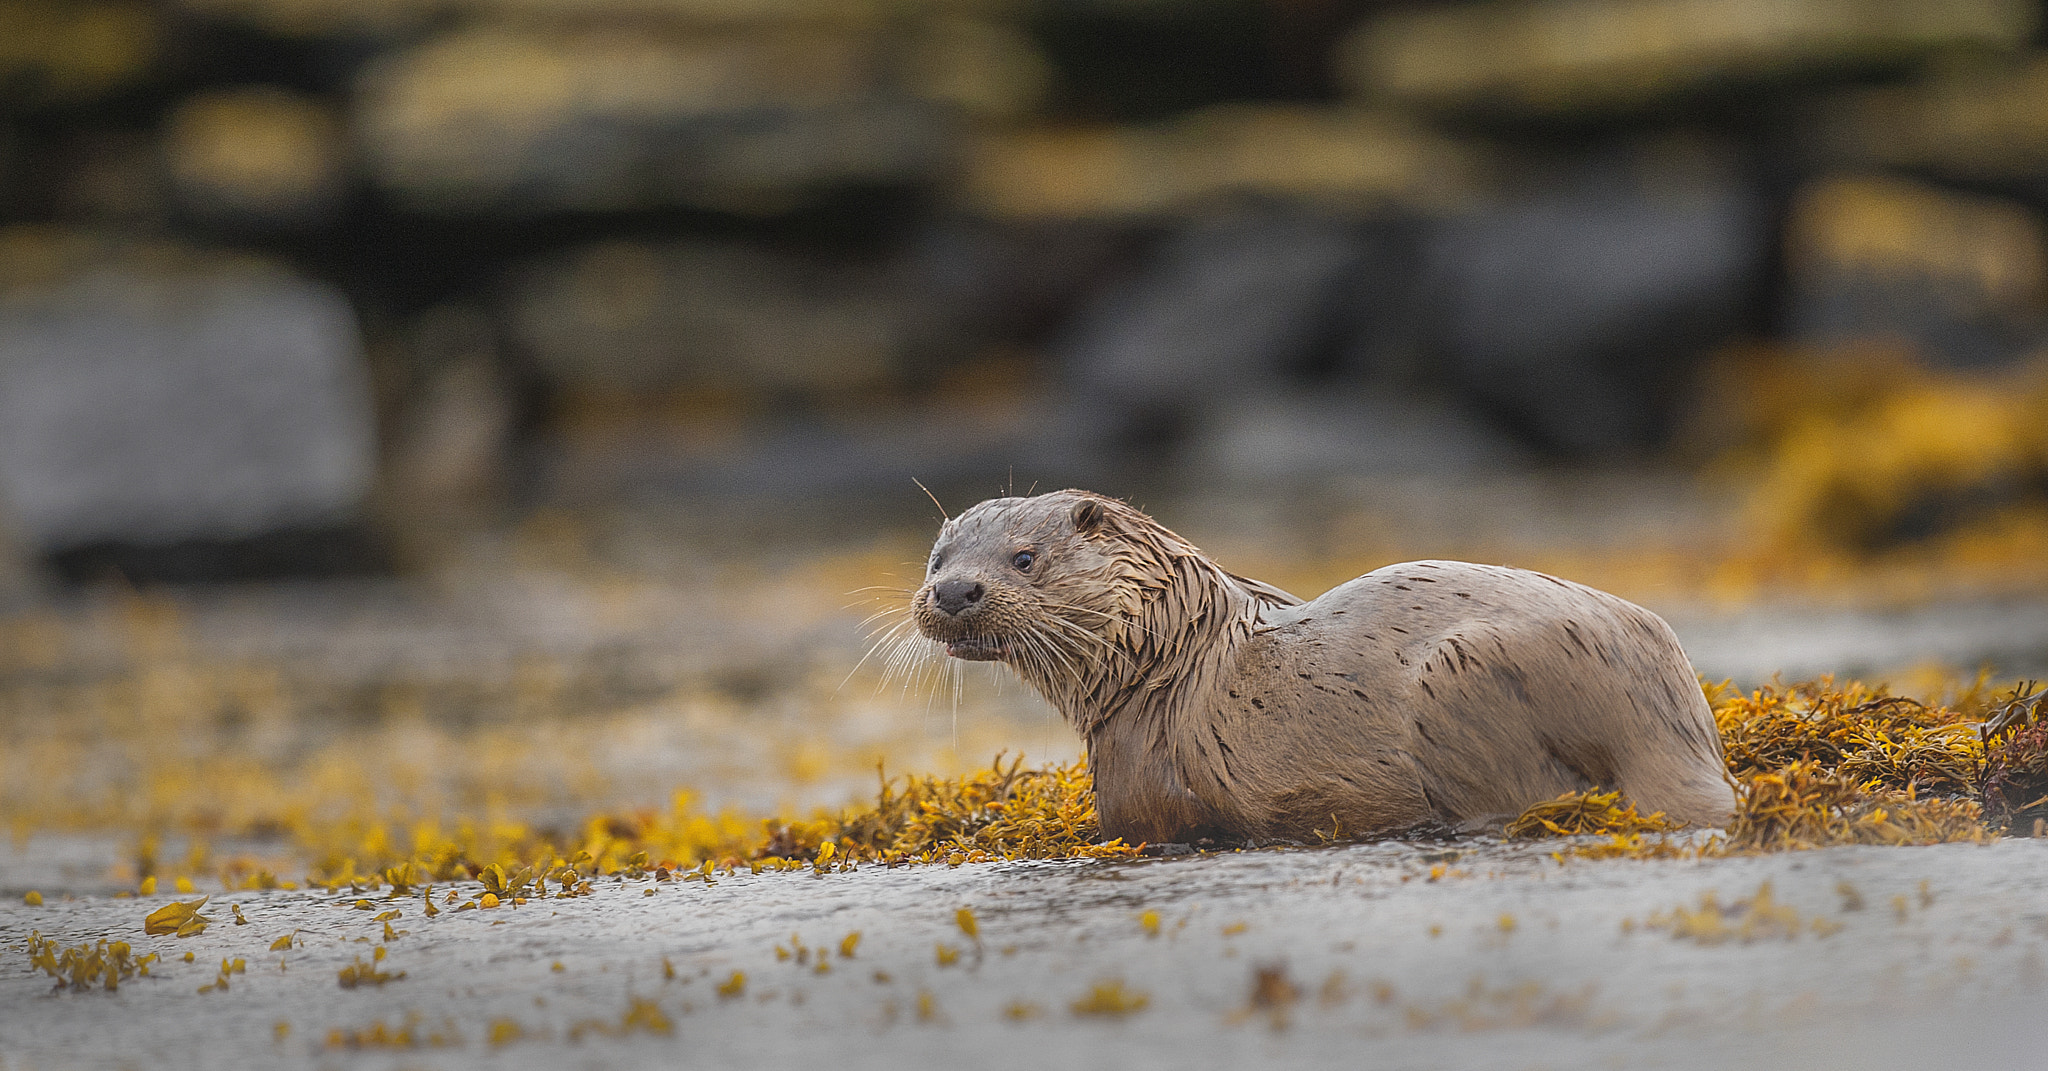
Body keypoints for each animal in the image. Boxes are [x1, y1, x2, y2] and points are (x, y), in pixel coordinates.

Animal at [909, 490, 1733, 844]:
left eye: (1024, 557)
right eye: (938, 557)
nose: (953, 591)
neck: (1166, 658)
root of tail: (1658, 713)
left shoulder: (1141, 795)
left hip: (1462, 681)